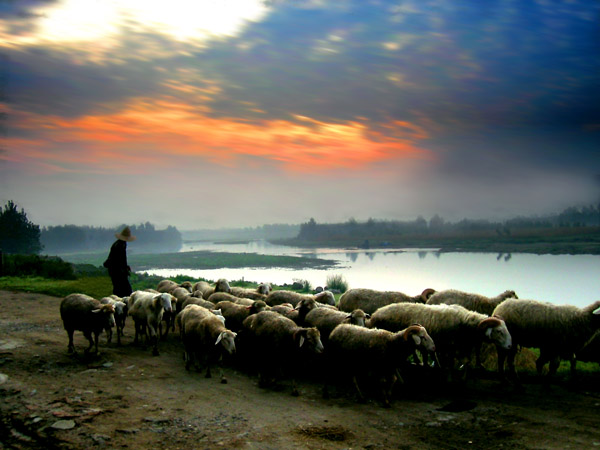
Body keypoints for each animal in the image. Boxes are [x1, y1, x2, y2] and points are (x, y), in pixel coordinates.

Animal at [368, 300, 512, 378]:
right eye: (499, 331)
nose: (510, 346)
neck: (465, 322)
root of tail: (375, 314)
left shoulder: (462, 345)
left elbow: (466, 361)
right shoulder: (450, 345)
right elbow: (450, 364)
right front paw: (449, 377)